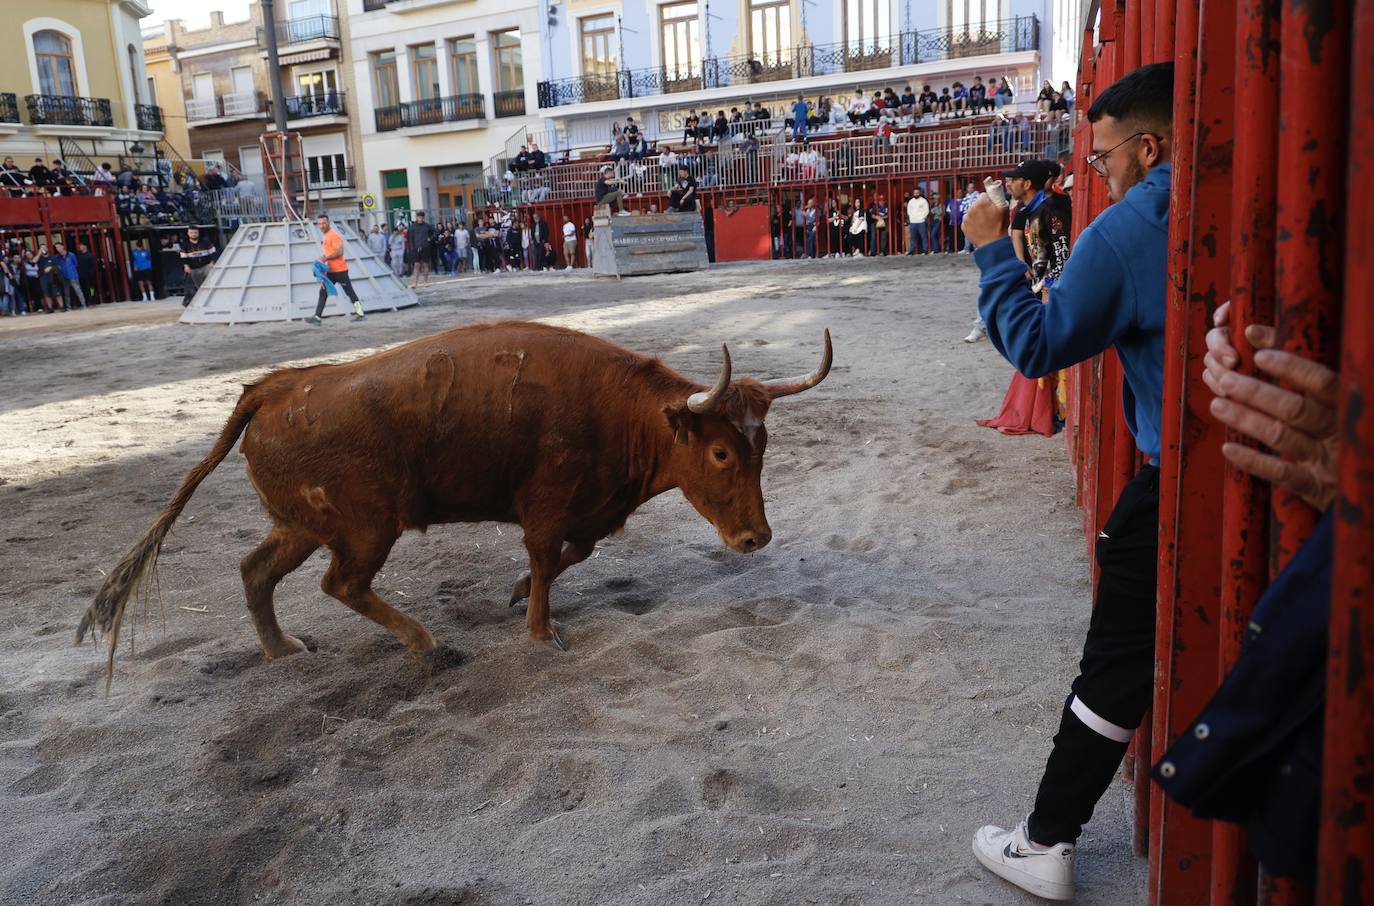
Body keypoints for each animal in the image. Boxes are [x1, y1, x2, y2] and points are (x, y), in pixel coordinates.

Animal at [80, 318, 829, 681]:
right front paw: (540, 632)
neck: (622, 411)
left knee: (256, 571)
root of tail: (273, 388)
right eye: (723, 453)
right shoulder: (547, 504)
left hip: (301, 523)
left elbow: (572, 555)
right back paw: (424, 642)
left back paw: (283, 650)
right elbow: (547, 557)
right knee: (341, 584)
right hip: (365, 526)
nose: (755, 539)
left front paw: (515, 595)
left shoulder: (585, 513)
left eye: (764, 448)